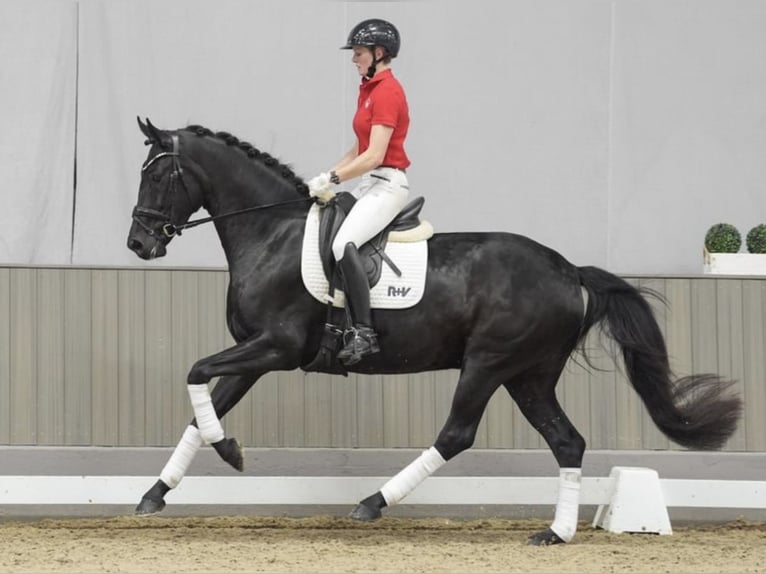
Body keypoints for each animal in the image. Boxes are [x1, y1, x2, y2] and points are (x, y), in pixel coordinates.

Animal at [127, 119, 744, 548]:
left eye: (157, 174)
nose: (139, 243)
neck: (271, 232)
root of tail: (569, 270)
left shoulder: (275, 347)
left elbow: (196, 373)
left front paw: (229, 452)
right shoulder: (255, 352)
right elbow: (202, 408)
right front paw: (159, 491)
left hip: (489, 364)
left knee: (457, 434)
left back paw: (373, 502)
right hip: (530, 375)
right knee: (567, 441)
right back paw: (556, 533)